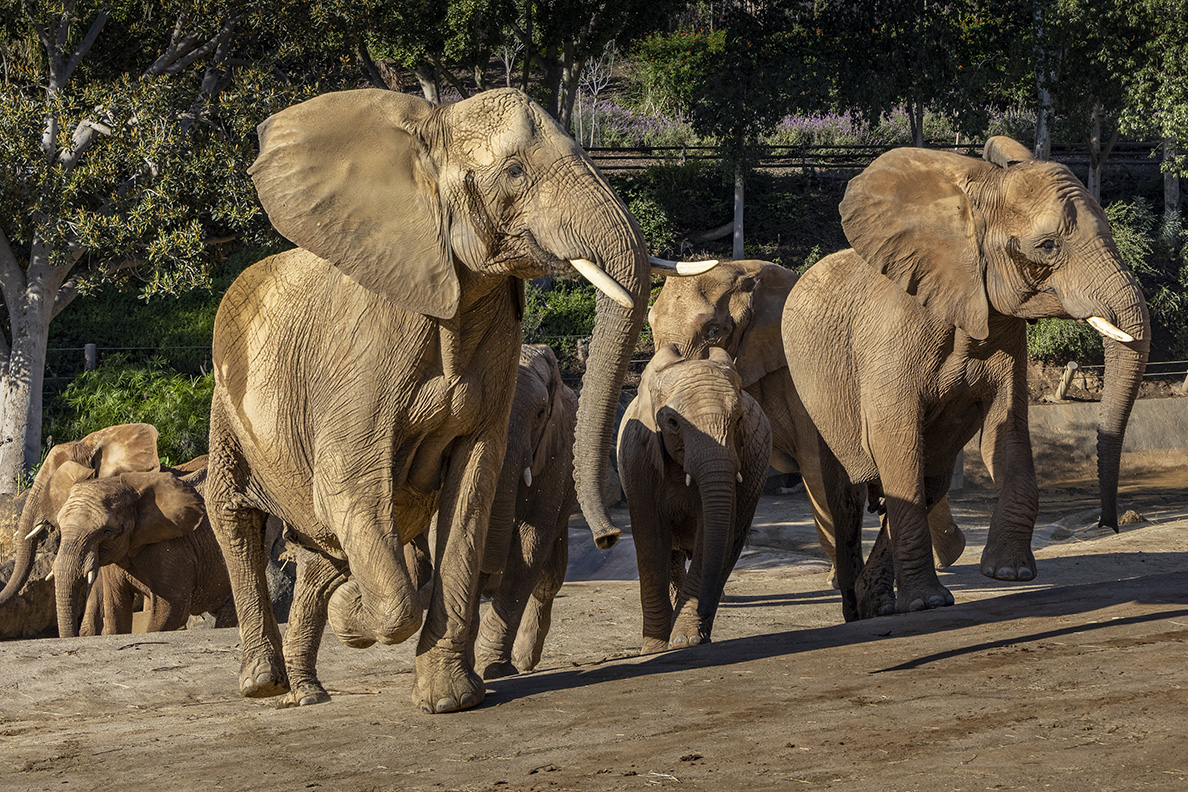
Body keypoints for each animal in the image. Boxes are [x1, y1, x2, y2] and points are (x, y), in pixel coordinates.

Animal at [470, 344, 577, 679]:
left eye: (540, 413)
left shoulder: (555, 452)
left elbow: (530, 547)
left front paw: (494, 669)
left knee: (548, 579)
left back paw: (525, 660)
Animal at [617, 344, 774, 655]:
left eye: (739, 420)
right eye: (673, 423)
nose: (701, 609)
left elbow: (710, 535)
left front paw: (685, 641)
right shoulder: (638, 455)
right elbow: (650, 538)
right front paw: (654, 648)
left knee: (729, 546)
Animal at [646, 261, 969, 581]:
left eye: (713, 331)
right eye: (650, 324)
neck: (746, 271)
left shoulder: (806, 381)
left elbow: (817, 469)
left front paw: (837, 580)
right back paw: (949, 556)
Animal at [784, 137, 1145, 617]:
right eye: (1048, 246)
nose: (1111, 525)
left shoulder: (1002, 326)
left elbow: (1006, 429)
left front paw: (1008, 573)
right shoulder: (891, 335)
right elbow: (894, 437)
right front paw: (928, 602)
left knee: (928, 482)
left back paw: (877, 604)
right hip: (808, 395)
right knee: (843, 497)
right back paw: (858, 610)